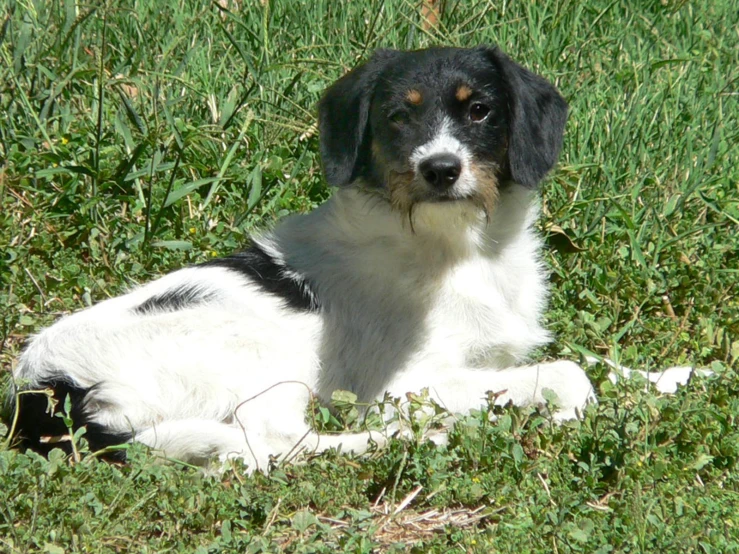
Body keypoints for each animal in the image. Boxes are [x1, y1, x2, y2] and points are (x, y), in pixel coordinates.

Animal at [4, 46, 700, 470]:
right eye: (397, 118)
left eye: (480, 110)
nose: (440, 169)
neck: (457, 251)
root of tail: (45, 389)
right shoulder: (405, 384)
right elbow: (570, 372)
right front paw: (565, 407)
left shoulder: (500, 350)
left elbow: (599, 361)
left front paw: (678, 377)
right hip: (260, 360)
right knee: (281, 444)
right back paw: (419, 437)